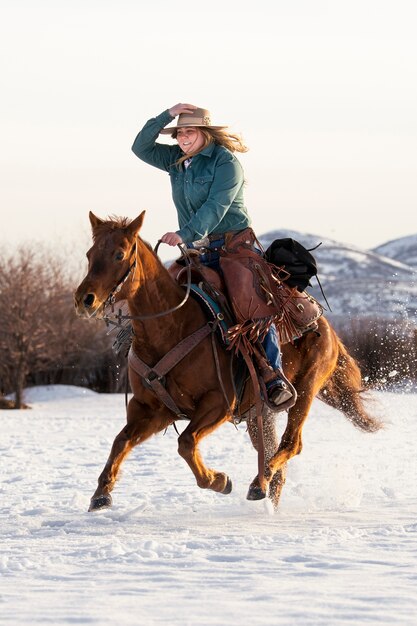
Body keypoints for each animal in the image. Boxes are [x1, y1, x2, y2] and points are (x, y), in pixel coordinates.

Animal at [73, 212, 378, 510]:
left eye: (119, 254)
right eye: (89, 254)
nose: (84, 299)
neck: (173, 326)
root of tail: (326, 325)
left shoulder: (219, 403)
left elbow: (186, 442)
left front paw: (218, 480)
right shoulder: (154, 409)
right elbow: (122, 440)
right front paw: (101, 493)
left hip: (305, 390)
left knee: (291, 444)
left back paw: (259, 479)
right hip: (259, 414)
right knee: (275, 458)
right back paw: (265, 491)